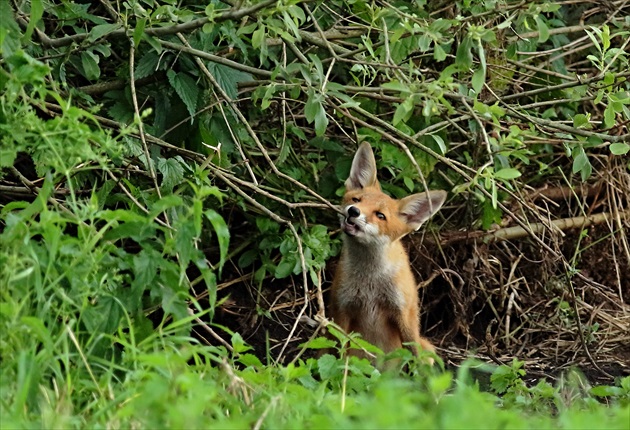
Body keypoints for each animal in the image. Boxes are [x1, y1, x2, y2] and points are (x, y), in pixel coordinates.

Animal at [328, 143, 446, 362]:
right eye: (356, 199)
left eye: (380, 215)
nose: (353, 211)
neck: (371, 283)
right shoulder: (342, 309)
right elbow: (339, 354)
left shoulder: (404, 313)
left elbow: (414, 356)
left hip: (427, 347)